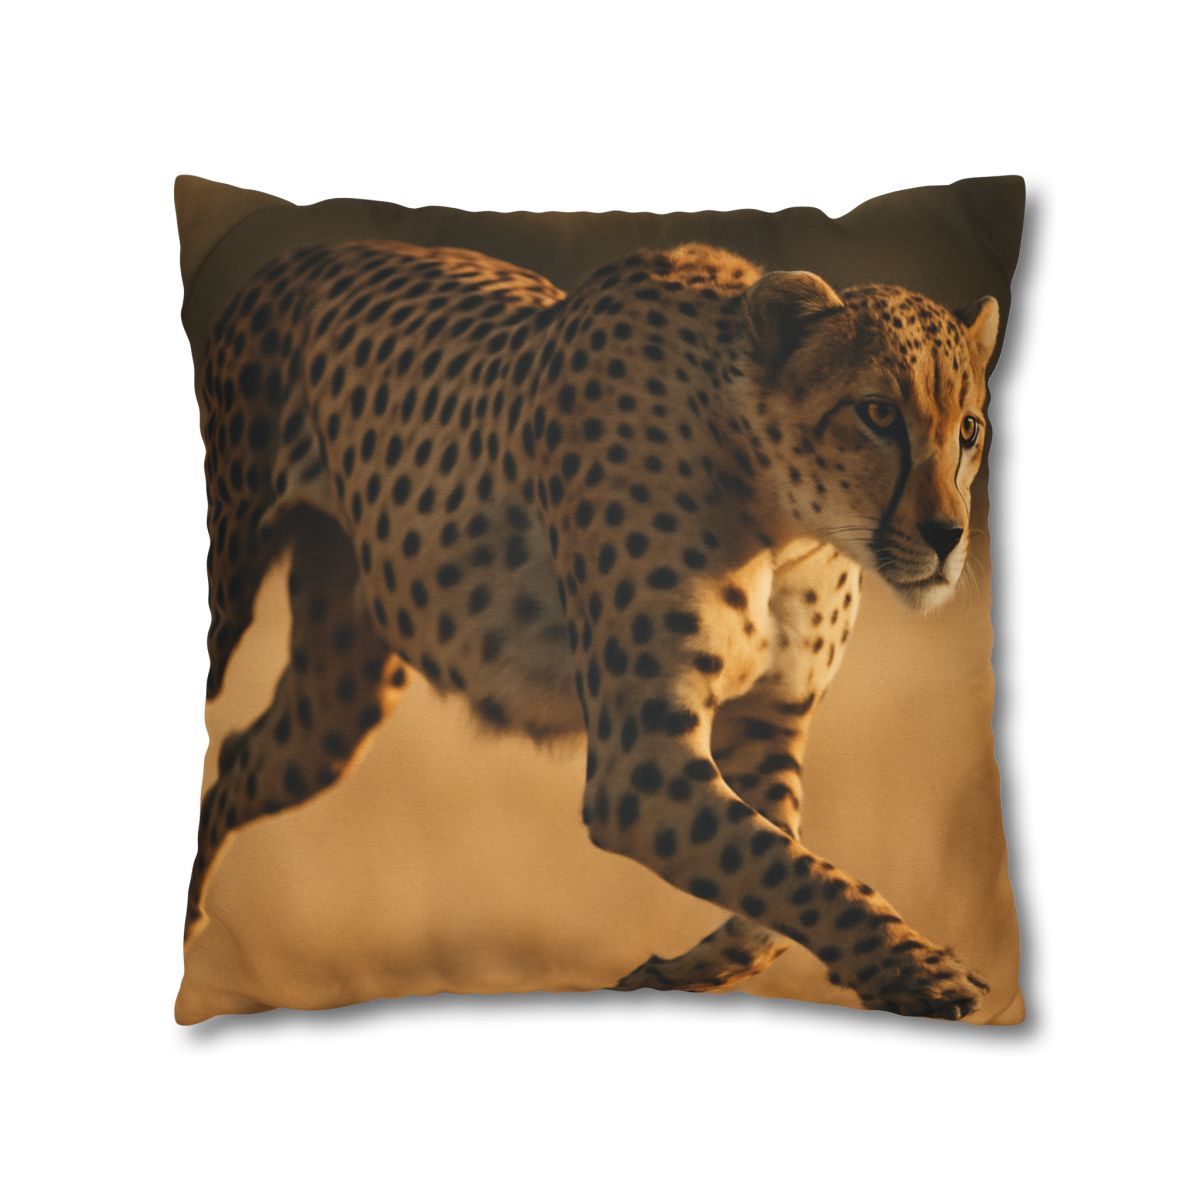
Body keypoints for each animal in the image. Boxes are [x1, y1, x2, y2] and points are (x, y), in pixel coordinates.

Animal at [189, 237, 999, 1019]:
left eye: (968, 430)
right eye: (878, 414)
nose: (948, 536)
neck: (784, 519)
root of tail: (292, 256)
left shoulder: (767, 724)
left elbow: (779, 876)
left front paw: (676, 973)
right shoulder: (638, 766)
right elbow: (789, 868)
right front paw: (921, 972)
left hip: (337, 702)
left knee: (238, 755)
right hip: (229, 596)